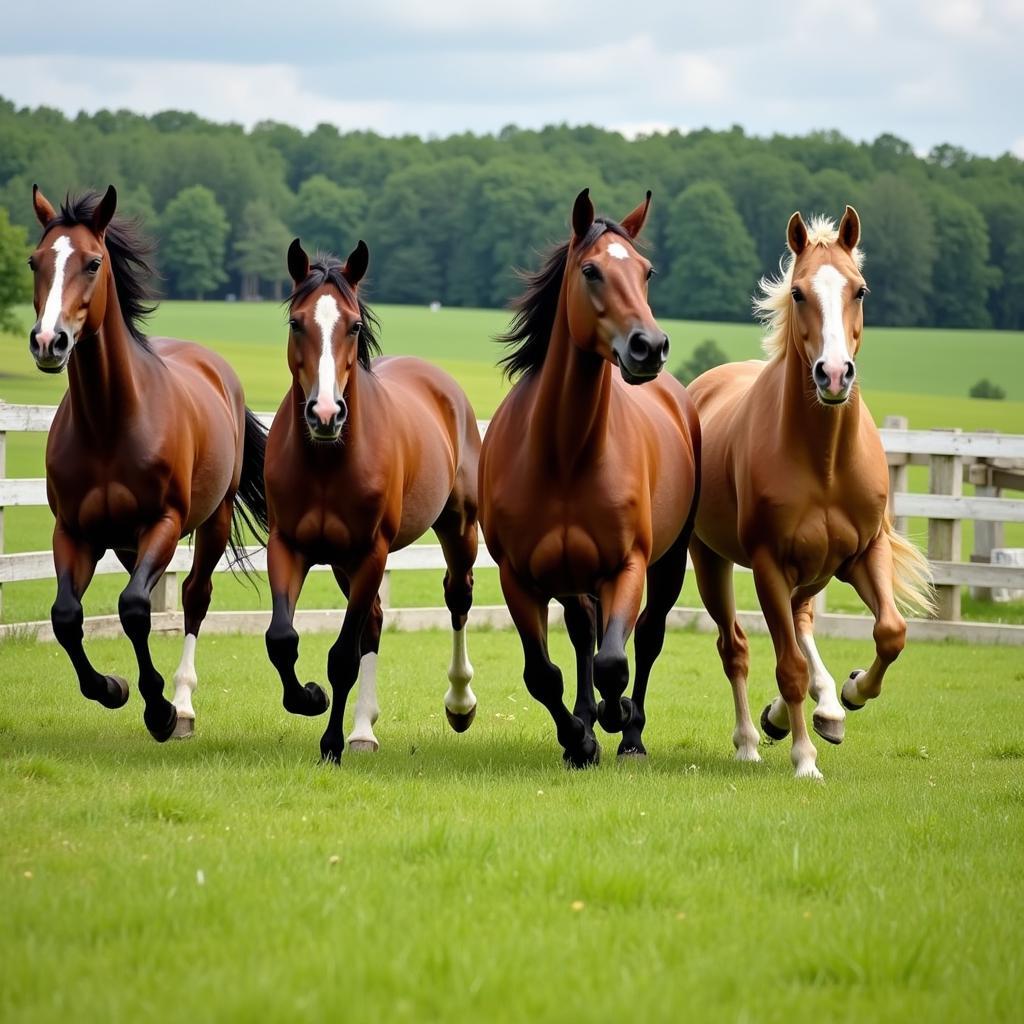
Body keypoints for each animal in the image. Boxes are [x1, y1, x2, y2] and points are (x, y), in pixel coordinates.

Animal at [27, 184, 268, 741]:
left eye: (93, 262)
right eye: (34, 261)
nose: (49, 342)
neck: (109, 424)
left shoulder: (164, 522)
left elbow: (135, 607)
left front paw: (159, 709)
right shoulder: (74, 532)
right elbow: (66, 615)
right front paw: (111, 688)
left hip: (213, 520)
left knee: (195, 598)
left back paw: (182, 704)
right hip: (124, 544)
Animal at [268, 234, 483, 761]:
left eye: (354, 325)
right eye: (296, 322)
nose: (325, 413)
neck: (327, 462)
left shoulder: (371, 553)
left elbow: (343, 657)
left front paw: (329, 743)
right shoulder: (289, 546)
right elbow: (282, 638)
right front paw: (309, 698)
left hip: (457, 529)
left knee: (457, 597)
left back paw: (460, 704)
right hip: (342, 564)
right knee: (376, 623)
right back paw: (363, 729)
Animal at [479, 190, 704, 770]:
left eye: (647, 272)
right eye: (591, 270)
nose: (649, 347)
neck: (566, 455)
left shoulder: (628, 566)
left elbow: (614, 662)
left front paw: (615, 716)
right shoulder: (518, 577)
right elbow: (543, 674)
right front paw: (578, 739)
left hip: (670, 561)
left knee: (646, 638)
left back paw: (630, 734)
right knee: (584, 633)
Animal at [688, 209, 937, 782]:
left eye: (859, 289)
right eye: (799, 292)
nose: (834, 374)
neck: (823, 463)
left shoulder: (866, 552)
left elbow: (891, 632)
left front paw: (852, 691)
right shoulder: (768, 565)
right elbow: (789, 667)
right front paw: (805, 759)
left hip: (817, 569)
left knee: (801, 623)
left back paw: (821, 711)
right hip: (712, 560)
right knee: (736, 647)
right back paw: (752, 740)